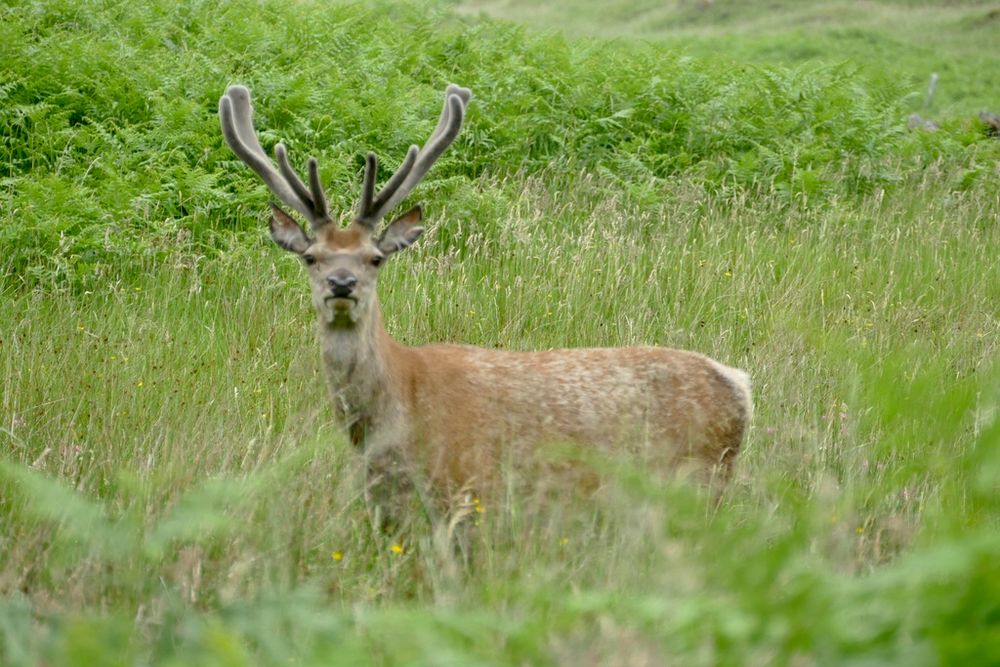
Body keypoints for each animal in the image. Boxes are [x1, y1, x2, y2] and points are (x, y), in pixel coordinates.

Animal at [219, 83, 752, 525]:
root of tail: (739, 386)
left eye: (375, 258)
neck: (394, 414)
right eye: (311, 256)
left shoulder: (470, 487)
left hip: (698, 480)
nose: (342, 283)